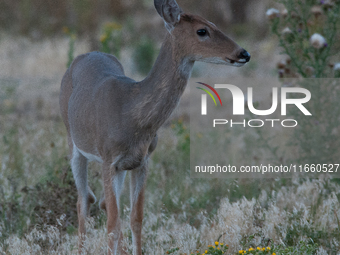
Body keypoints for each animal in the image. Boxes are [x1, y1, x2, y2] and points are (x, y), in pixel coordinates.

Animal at [58, 0, 250, 254]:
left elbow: (135, 219)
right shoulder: (109, 159)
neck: (132, 115)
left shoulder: (142, 160)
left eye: (214, 23)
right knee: (84, 201)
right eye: (202, 30)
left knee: (102, 203)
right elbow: (112, 224)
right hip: (73, 141)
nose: (244, 53)